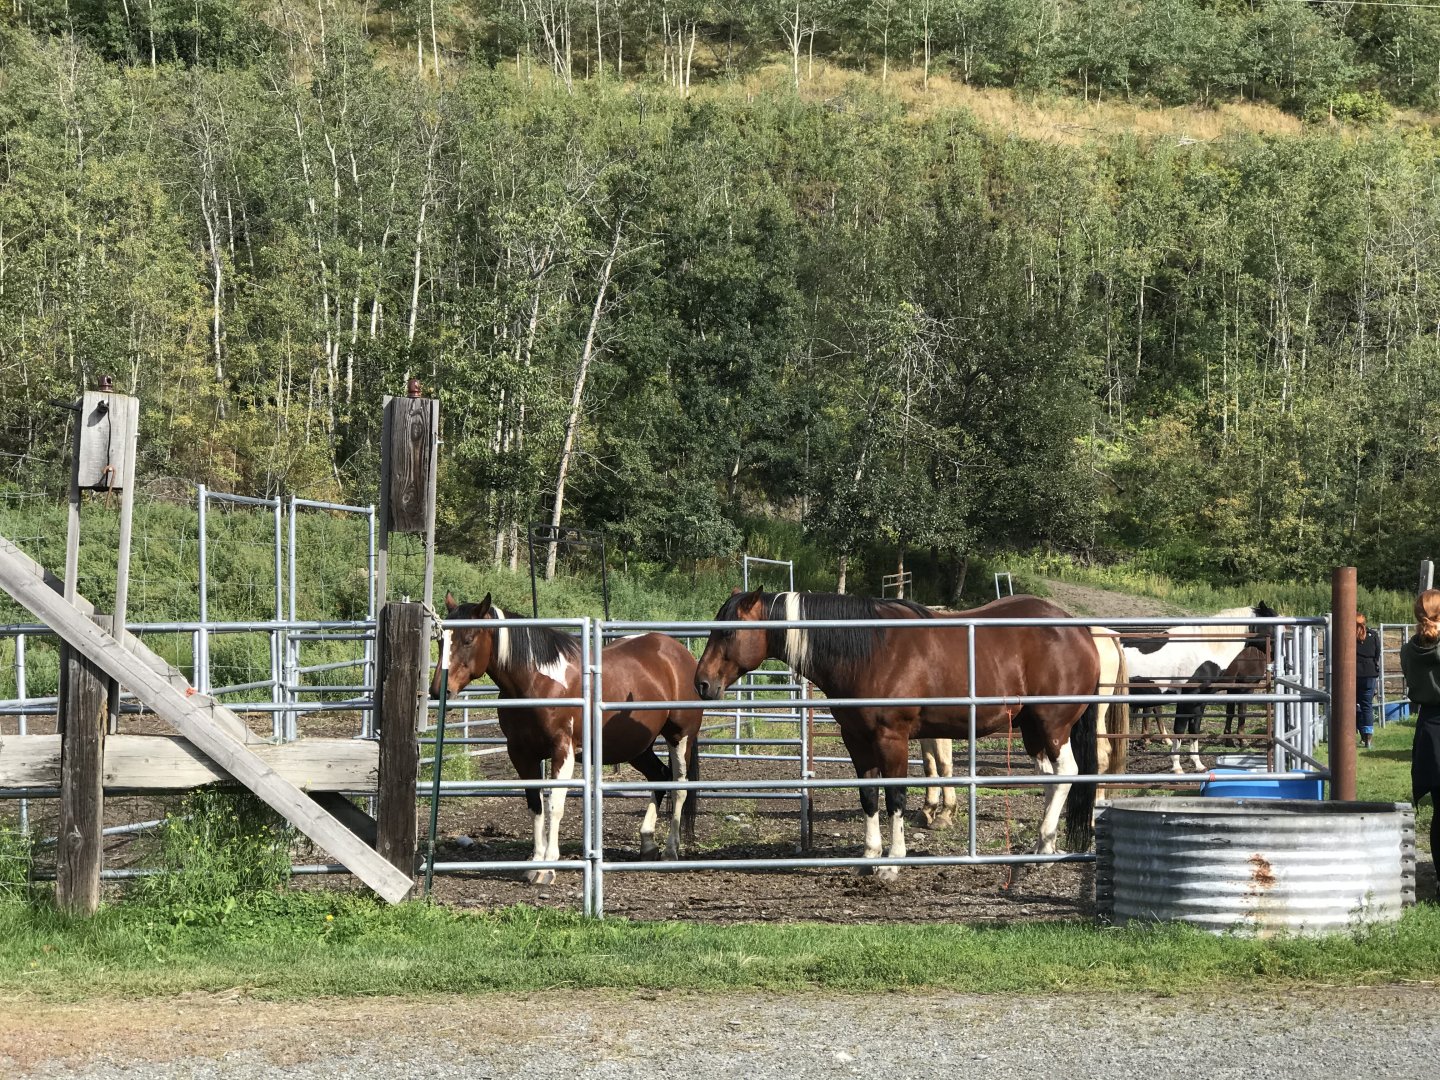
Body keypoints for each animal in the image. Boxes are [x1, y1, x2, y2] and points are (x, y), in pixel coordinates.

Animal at [433, 593, 703, 884]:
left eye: (468, 639)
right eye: (440, 640)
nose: (438, 691)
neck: (538, 682)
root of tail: (679, 653)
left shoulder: (562, 750)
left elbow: (555, 806)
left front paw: (549, 867)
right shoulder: (521, 754)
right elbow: (535, 805)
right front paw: (535, 864)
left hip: (680, 738)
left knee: (679, 787)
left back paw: (670, 851)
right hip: (637, 747)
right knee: (659, 777)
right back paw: (648, 845)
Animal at [694, 590, 1101, 879]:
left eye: (728, 632)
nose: (702, 684)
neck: (871, 650)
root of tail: (1078, 629)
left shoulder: (892, 739)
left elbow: (894, 796)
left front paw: (893, 862)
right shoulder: (857, 740)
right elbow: (869, 796)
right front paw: (869, 858)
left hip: (1053, 726)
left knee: (1067, 775)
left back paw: (1045, 850)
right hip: (1033, 730)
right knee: (1049, 780)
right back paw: (1041, 848)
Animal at [1113, 604, 1277, 773]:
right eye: (1274, 626)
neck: (1204, 649)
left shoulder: (1200, 701)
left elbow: (1195, 729)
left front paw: (1198, 764)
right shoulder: (1188, 699)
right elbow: (1179, 730)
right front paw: (1177, 767)